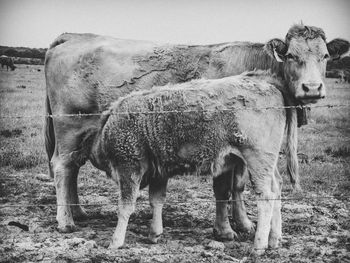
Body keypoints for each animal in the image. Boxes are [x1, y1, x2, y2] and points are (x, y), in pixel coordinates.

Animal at [45, 24, 348, 239]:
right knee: (62, 168)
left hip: (82, 137)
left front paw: (244, 223)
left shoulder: (242, 151)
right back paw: (66, 221)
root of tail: (72, 36)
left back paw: (78, 212)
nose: (312, 88)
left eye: (325, 56)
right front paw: (226, 229)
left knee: (72, 170)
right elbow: (223, 188)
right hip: (70, 130)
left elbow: (238, 186)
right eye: (292, 56)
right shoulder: (226, 149)